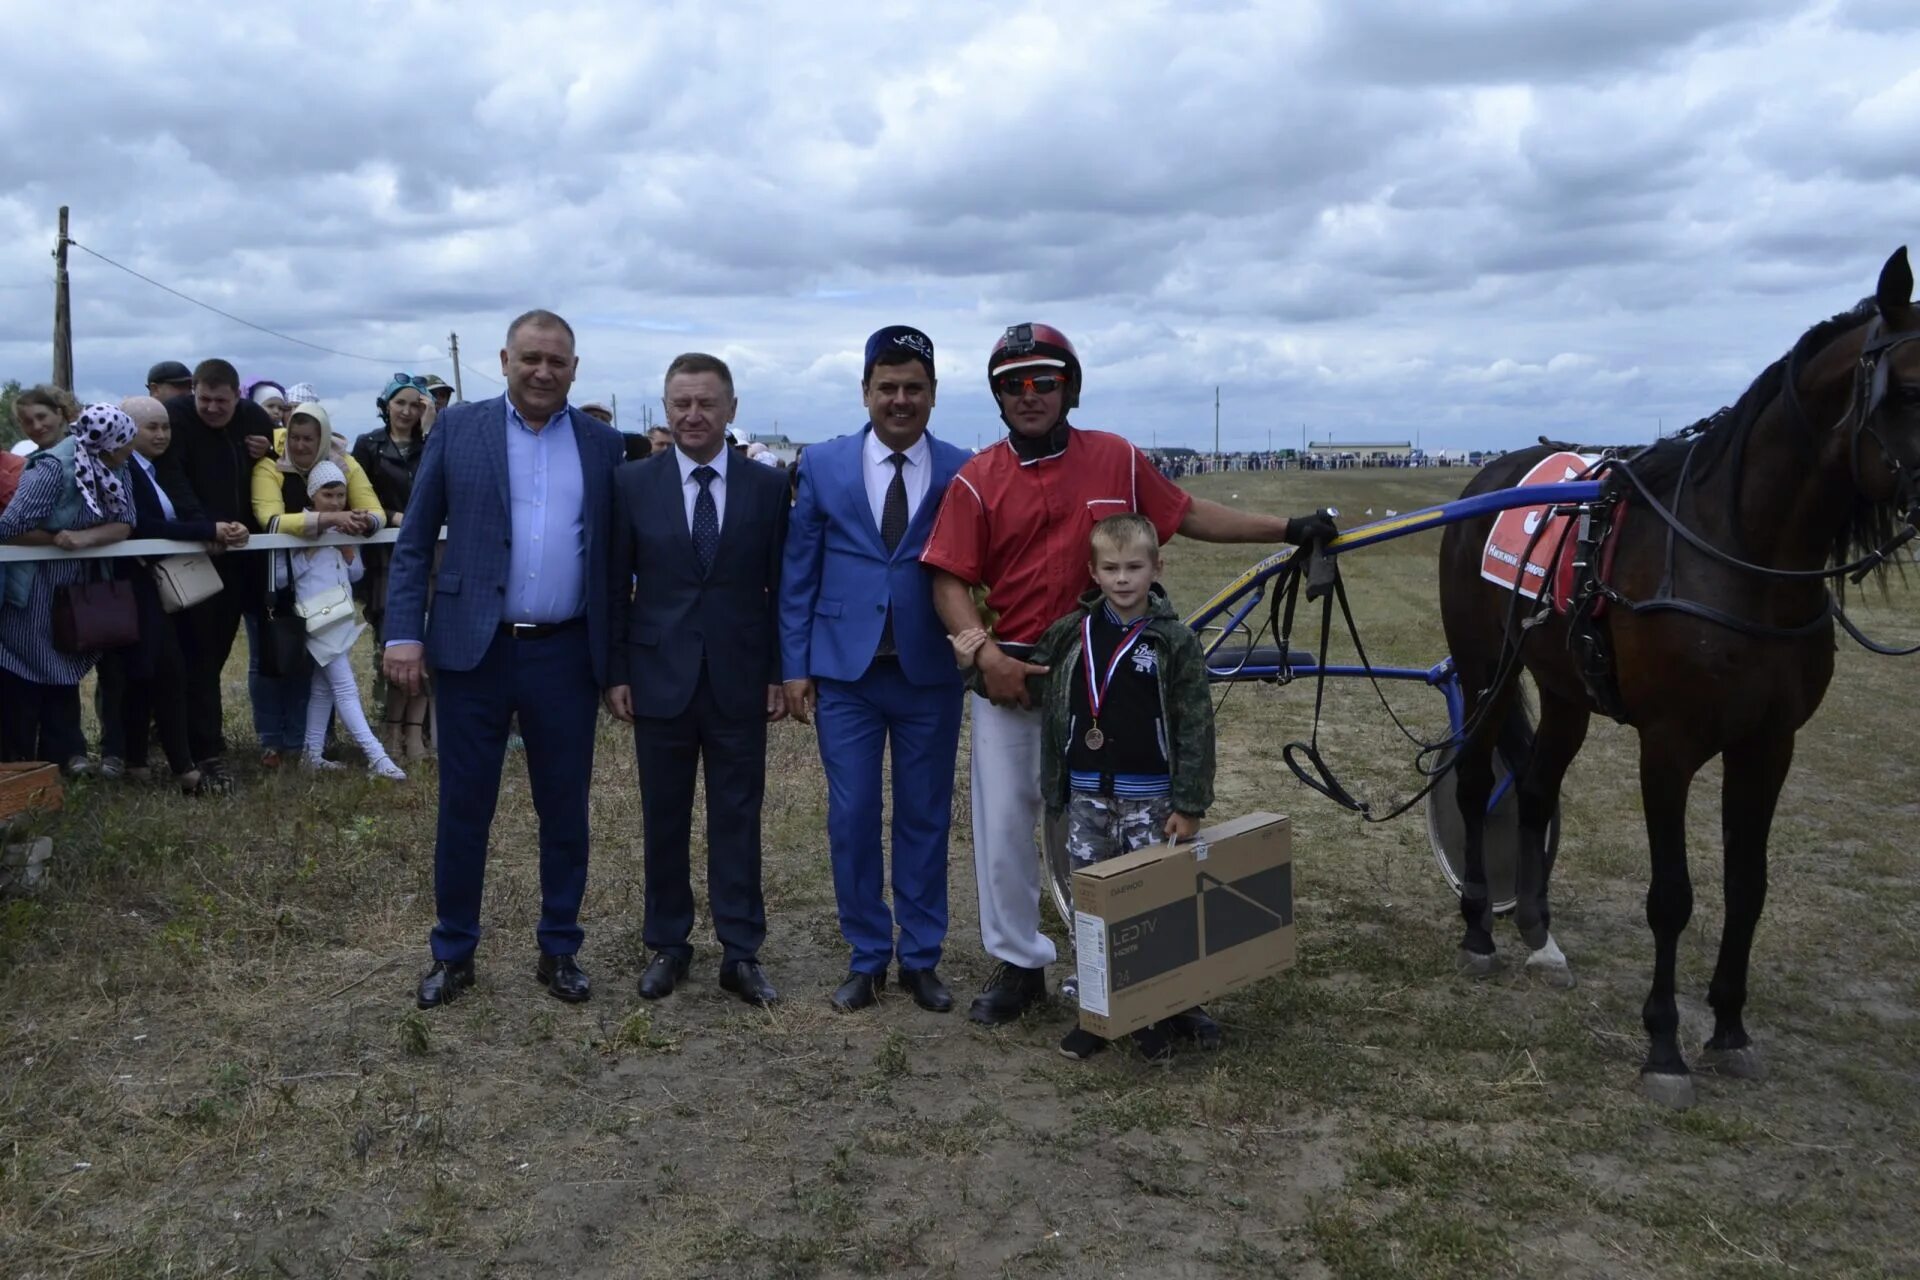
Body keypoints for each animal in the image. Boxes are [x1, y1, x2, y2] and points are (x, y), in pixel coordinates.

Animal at [1443, 249, 1920, 1113]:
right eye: (1904, 389)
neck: (1736, 555)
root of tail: (1486, 478)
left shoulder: (1768, 745)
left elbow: (1747, 885)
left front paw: (1729, 1027)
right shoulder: (1667, 747)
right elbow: (1672, 895)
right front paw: (1664, 1045)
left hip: (1565, 690)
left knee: (1533, 789)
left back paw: (1540, 935)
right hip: (1483, 668)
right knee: (1471, 782)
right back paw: (1479, 928)